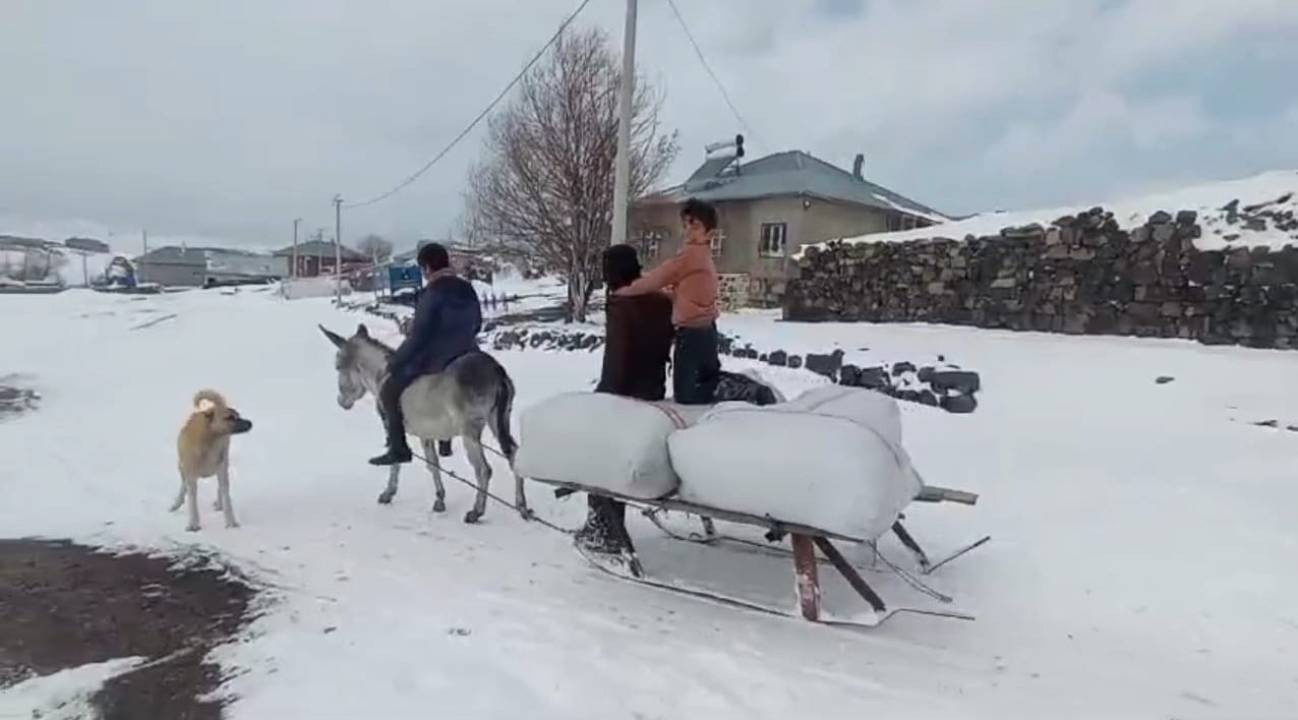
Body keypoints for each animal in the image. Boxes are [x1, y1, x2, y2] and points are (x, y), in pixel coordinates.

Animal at [171, 391, 251, 531]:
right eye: (230, 417)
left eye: (238, 415)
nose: (250, 423)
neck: (209, 442)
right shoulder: (191, 475)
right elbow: (192, 501)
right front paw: (193, 524)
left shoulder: (221, 468)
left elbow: (226, 496)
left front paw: (231, 523)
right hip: (181, 466)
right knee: (183, 485)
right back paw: (177, 503)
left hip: (224, 463)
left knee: (222, 487)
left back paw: (219, 504)